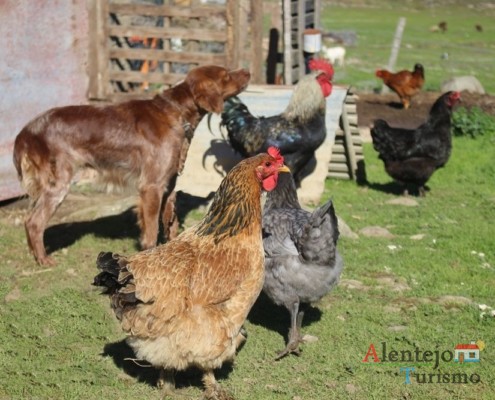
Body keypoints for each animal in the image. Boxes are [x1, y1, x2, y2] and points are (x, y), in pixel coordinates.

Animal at [13, 65, 250, 266]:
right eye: (226, 75)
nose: (247, 71)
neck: (176, 113)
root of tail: (25, 131)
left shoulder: (169, 186)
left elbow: (171, 225)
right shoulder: (151, 186)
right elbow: (152, 231)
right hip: (58, 184)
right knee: (33, 222)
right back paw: (44, 260)